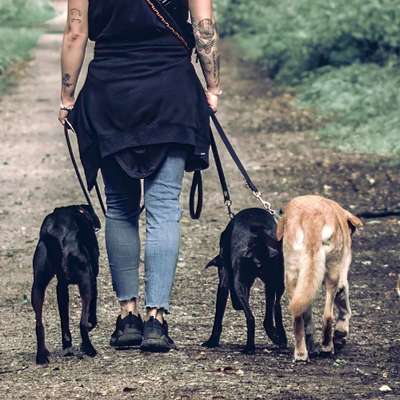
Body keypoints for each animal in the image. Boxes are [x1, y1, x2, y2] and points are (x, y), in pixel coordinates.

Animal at [31, 205, 100, 364]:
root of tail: (57, 232)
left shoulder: (61, 287)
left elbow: (64, 320)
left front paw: (67, 345)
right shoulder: (92, 278)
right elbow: (92, 309)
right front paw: (91, 323)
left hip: (37, 286)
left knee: (39, 324)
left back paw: (41, 355)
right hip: (86, 282)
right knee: (82, 322)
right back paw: (89, 348)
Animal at [203, 208, 288, 354]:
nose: (236, 305)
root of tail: (258, 238)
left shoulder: (225, 283)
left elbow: (218, 317)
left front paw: (212, 341)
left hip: (240, 284)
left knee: (252, 317)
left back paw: (250, 347)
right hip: (277, 283)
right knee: (274, 309)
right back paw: (277, 338)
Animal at [276, 195, 364, 360]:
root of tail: (313, 219)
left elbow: (308, 321)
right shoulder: (342, 279)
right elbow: (345, 308)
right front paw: (340, 333)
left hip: (293, 277)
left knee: (299, 317)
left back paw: (302, 353)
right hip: (332, 276)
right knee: (328, 315)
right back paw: (327, 347)